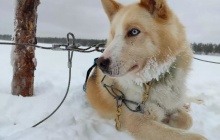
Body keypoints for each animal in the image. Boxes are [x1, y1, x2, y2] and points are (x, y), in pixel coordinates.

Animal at [85, 0, 206, 139]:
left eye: (134, 32)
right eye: (113, 35)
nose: (100, 63)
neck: (154, 79)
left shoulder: (168, 102)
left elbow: (187, 120)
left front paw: (173, 116)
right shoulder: (136, 119)